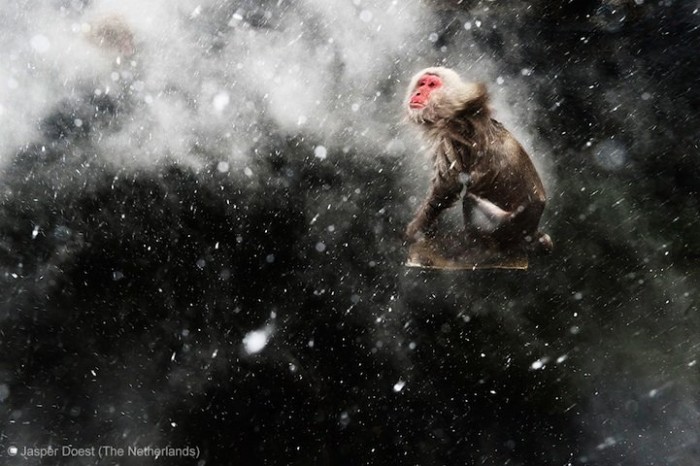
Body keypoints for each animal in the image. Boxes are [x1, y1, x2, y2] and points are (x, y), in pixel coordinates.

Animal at [404, 67, 552, 253]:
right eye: (422, 83)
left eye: (431, 85)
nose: (418, 92)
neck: (454, 107)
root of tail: (532, 231)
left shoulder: (452, 134)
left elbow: (448, 185)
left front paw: (417, 229)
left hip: (505, 226)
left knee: (471, 198)